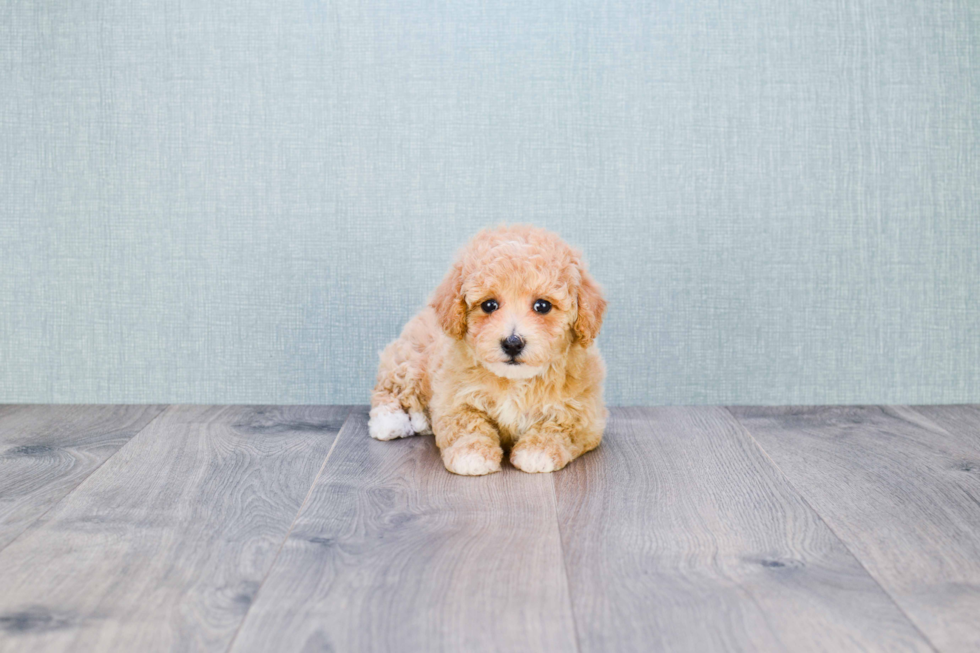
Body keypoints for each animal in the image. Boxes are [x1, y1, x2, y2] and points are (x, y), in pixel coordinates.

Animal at [372, 224, 608, 474]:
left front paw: (538, 451)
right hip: (410, 360)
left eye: (542, 306)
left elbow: (559, 427)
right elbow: (466, 423)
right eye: (489, 305)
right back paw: (389, 421)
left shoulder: (584, 413)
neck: (514, 381)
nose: (512, 343)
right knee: (391, 388)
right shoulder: (453, 397)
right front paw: (472, 454)